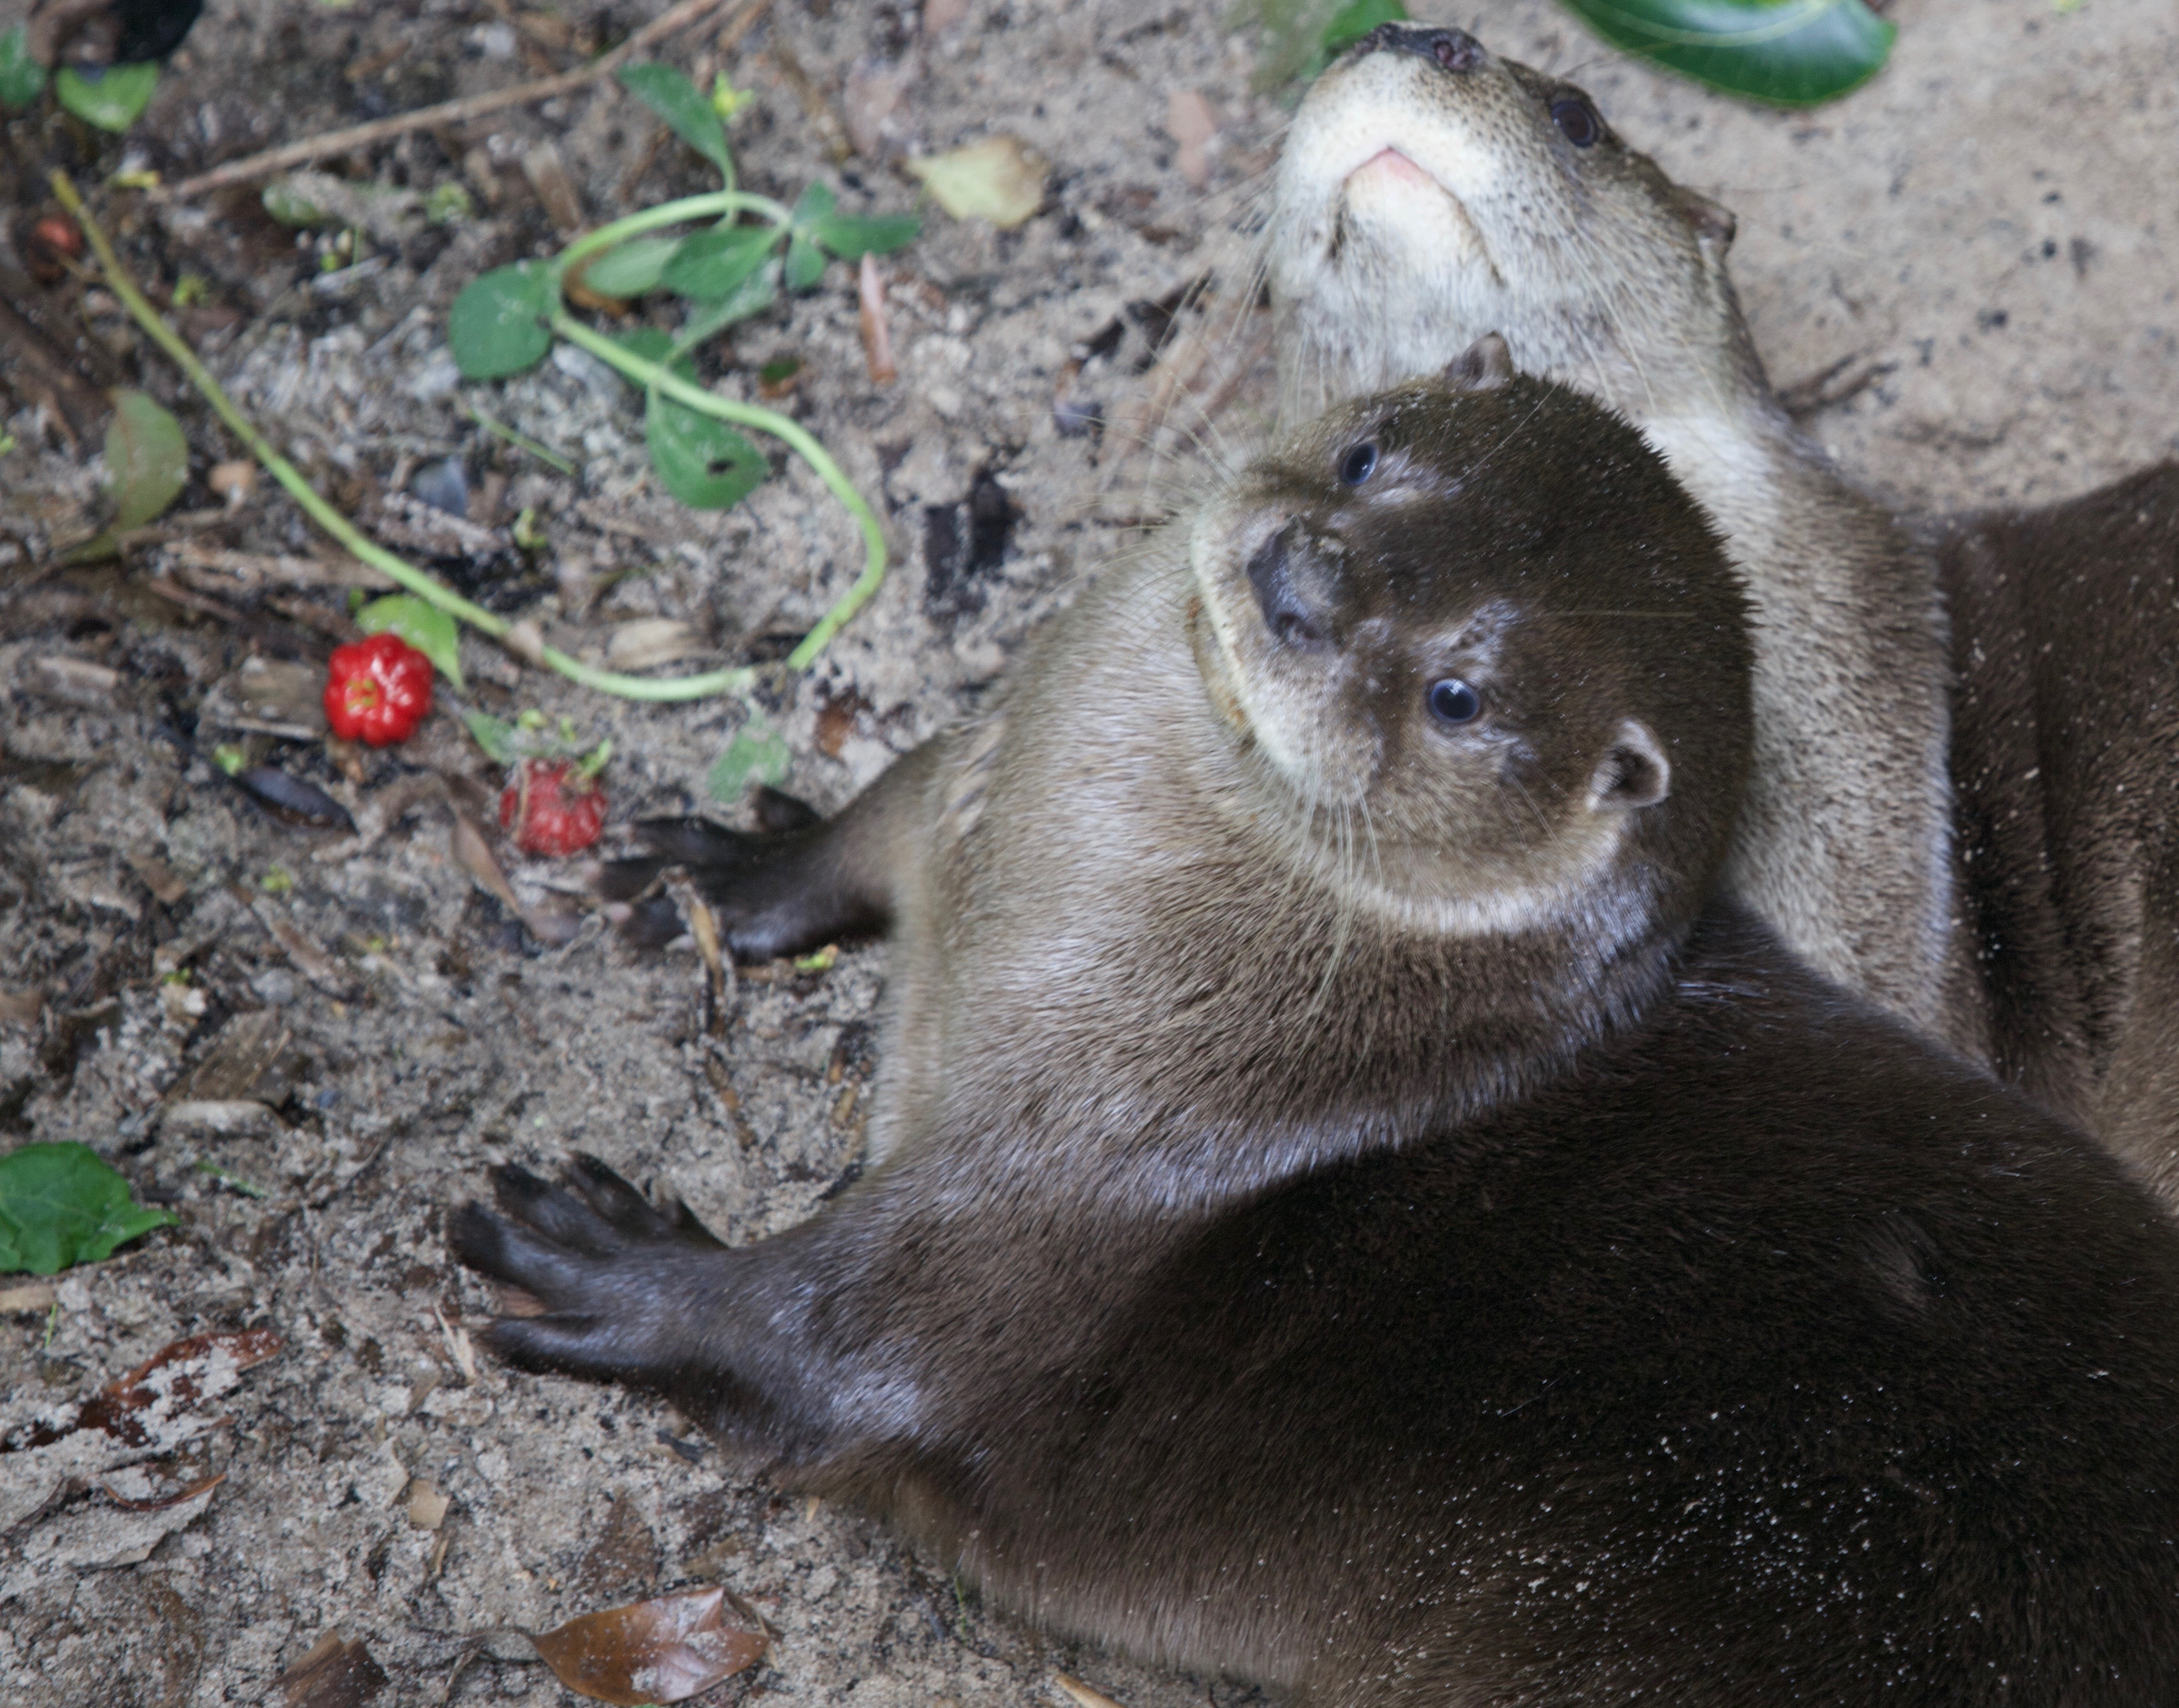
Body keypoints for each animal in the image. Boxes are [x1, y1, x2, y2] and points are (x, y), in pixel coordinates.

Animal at [451, 363, 2179, 1708]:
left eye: (1461, 695)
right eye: (1370, 460)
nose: (1307, 580)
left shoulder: (1050, 1195)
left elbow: (828, 1337)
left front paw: (611, 1262)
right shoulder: (967, 791)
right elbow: (889, 798)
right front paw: (727, 869)